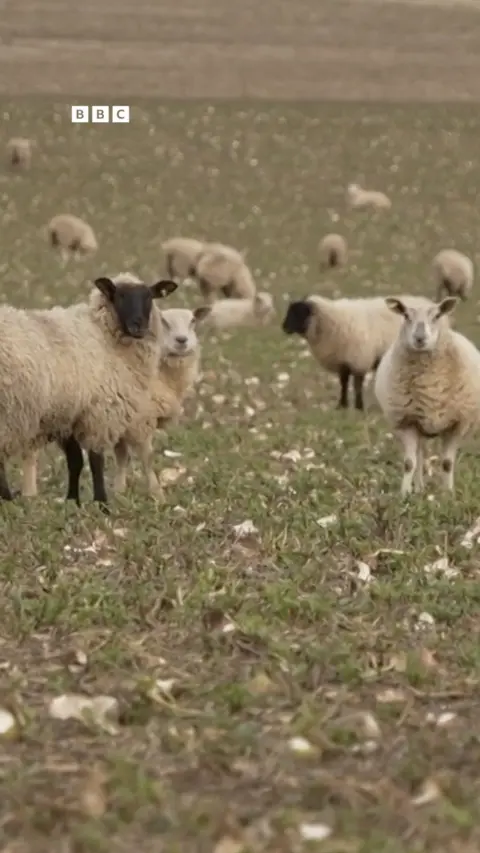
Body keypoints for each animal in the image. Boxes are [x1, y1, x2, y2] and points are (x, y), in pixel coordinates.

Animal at [0, 274, 178, 509]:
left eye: (148, 296)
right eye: (119, 296)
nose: (138, 326)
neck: (104, 335)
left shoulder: (68, 414)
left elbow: (75, 460)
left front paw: (72, 501)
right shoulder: (100, 411)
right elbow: (96, 459)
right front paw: (101, 502)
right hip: (9, 411)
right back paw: (6, 499)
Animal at [112, 305, 211, 496]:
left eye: (192, 321)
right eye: (163, 321)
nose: (182, 340)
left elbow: (121, 456)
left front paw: (118, 491)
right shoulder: (139, 420)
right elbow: (146, 458)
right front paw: (157, 493)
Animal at [281, 293, 427, 411]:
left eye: (299, 313)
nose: (284, 328)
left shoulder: (359, 360)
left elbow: (357, 386)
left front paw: (359, 407)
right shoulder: (342, 361)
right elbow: (344, 383)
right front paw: (342, 405)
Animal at [374, 295, 480, 496]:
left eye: (437, 316)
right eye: (406, 315)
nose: (419, 338)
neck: (430, 386)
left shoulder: (457, 424)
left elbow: (447, 463)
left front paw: (448, 494)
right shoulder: (407, 422)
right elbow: (409, 463)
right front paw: (404, 493)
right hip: (420, 426)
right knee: (419, 456)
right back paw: (419, 488)